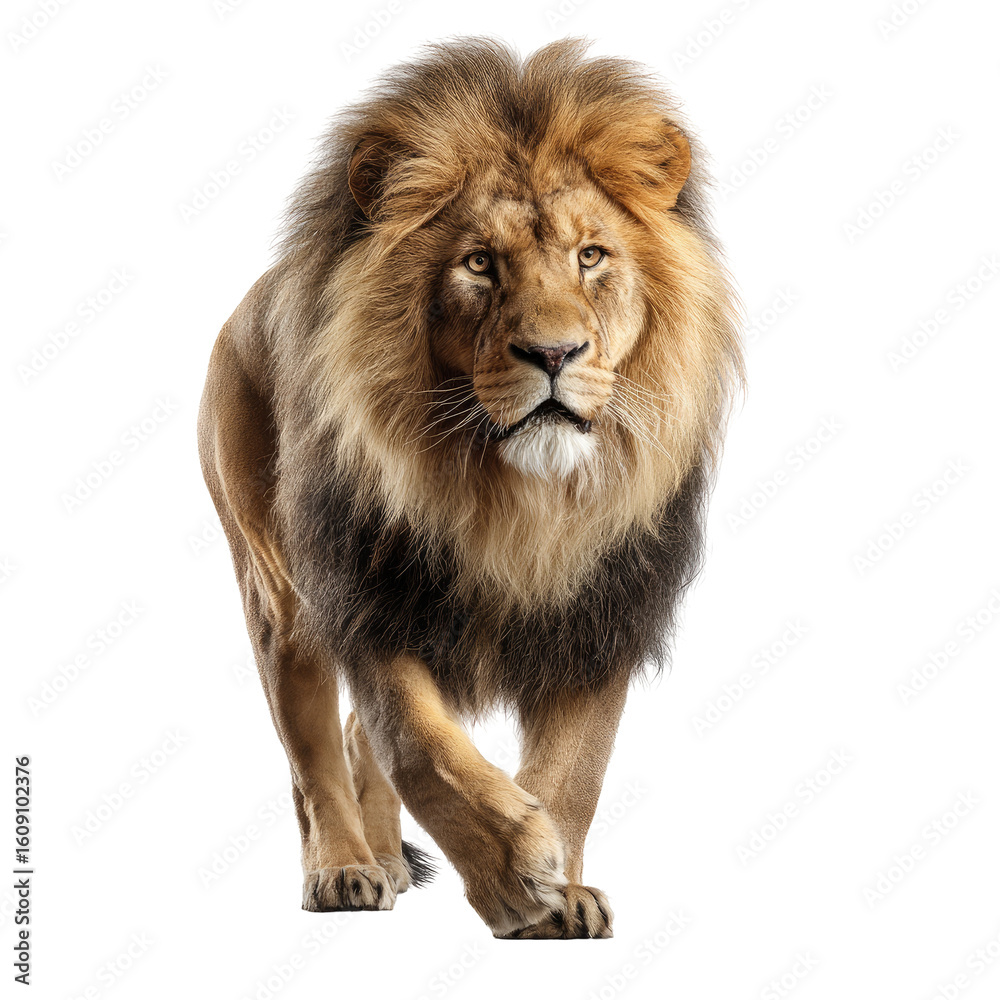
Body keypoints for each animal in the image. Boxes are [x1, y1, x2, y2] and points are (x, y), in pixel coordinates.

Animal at [198, 37, 743, 939]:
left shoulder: (603, 605)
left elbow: (577, 769)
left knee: (355, 737)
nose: (554, 353)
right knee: (315, 758)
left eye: (591, 256)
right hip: (279, 598)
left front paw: (562, 893)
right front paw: (514, 871)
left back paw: (386, 857)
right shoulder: (369, 591)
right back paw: (345, 869)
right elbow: (417, 744)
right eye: (480, 264)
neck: (517, 497)